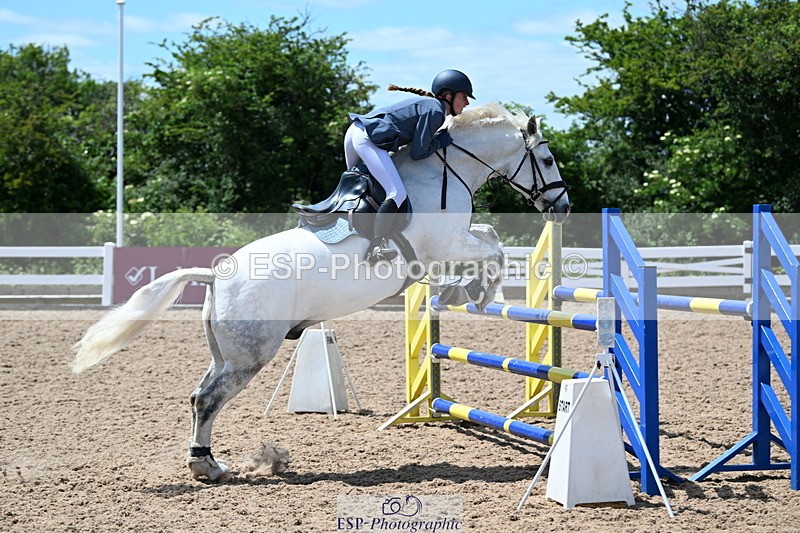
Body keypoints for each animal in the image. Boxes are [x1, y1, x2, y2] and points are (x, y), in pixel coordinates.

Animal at [71, 102, 571, 482]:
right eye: (547, 160)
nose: (563, 206)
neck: (446, 169)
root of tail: (217, 274)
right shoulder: (445, 244)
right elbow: (494, 248)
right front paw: (473, 292)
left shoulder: (450, 245)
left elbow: (489, 238)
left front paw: (460, 290)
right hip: (251, 354)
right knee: (208, 399)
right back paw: (207, 468)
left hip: (226, 353)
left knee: (200, 395)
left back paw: (210, 462)